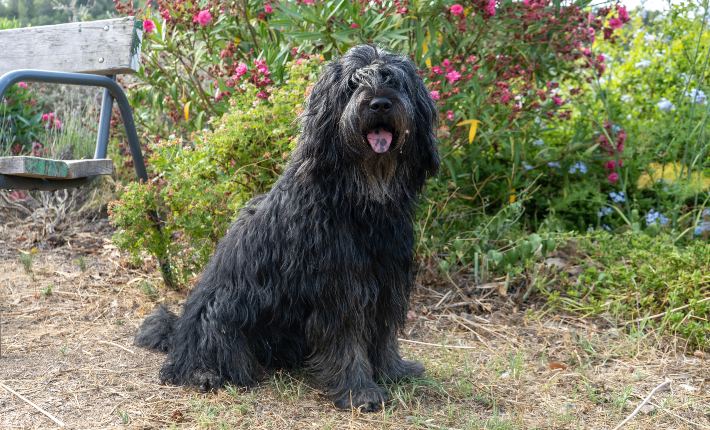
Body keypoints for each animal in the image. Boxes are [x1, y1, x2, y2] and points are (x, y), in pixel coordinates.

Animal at [135, 45, 440, 412]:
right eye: (352, 85)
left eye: (393, 81)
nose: (379, 103)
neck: (357, 195)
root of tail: (180, 328)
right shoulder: (339, 287)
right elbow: (347, 340)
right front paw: (360, 391)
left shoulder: (386, 279)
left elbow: (382, 334)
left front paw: (394, 371)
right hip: (224, 310)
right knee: (196, 356)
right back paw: (204, 373)